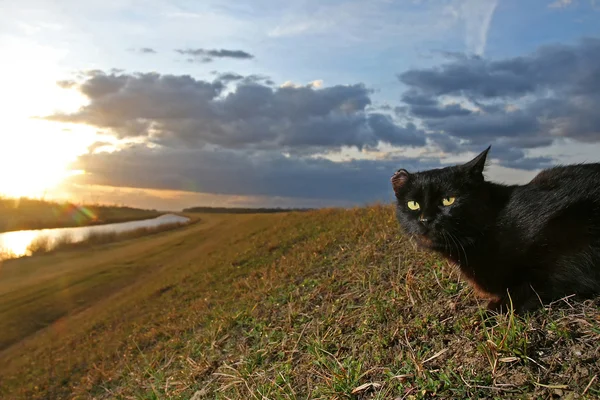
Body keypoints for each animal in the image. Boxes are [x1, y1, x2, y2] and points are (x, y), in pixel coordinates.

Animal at [392, 145, 600, 314]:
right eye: (413, 204)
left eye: (448, 200)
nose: (425, 219)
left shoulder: (567, 238)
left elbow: (546, 280)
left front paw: (493, 310)